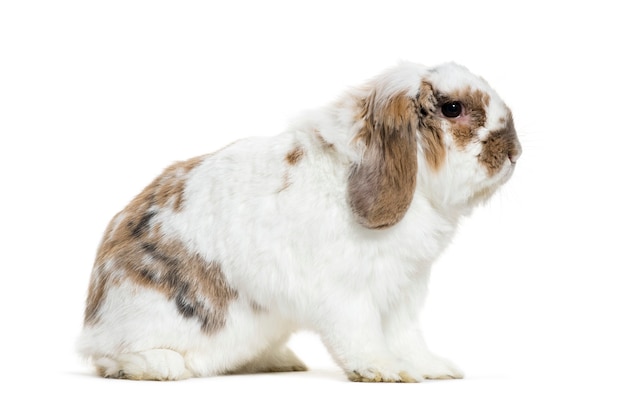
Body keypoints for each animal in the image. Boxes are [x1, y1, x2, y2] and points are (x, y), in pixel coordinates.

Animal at [75, 61, 520, 380]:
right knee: (110, 359)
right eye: (452, 109)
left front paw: (434, 370)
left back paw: (281, 361)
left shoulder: (404, 291)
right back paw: (162, 366)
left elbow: (407, 337)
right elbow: (360, 336)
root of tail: (92, 319)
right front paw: (383, 370)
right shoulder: (348, 294)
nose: (515, 152)